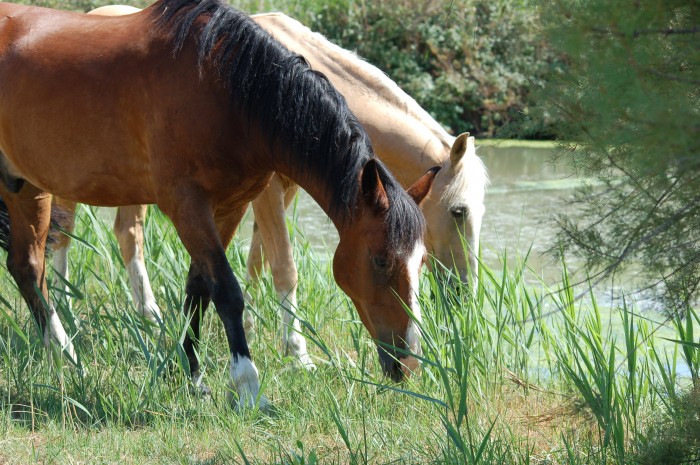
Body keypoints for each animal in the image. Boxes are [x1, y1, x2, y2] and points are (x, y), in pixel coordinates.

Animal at [0, 0, 438, 406]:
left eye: (421, 262)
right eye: (380, 260)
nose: (409, 362)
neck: (226, 91)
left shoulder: (230, 206)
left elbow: (199, 289)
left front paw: (193, 376)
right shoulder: (186, 206)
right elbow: (227, 291)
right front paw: (247, 387)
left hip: (25, 187)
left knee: (26, 267)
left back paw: (65, 360)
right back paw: (66, 356)